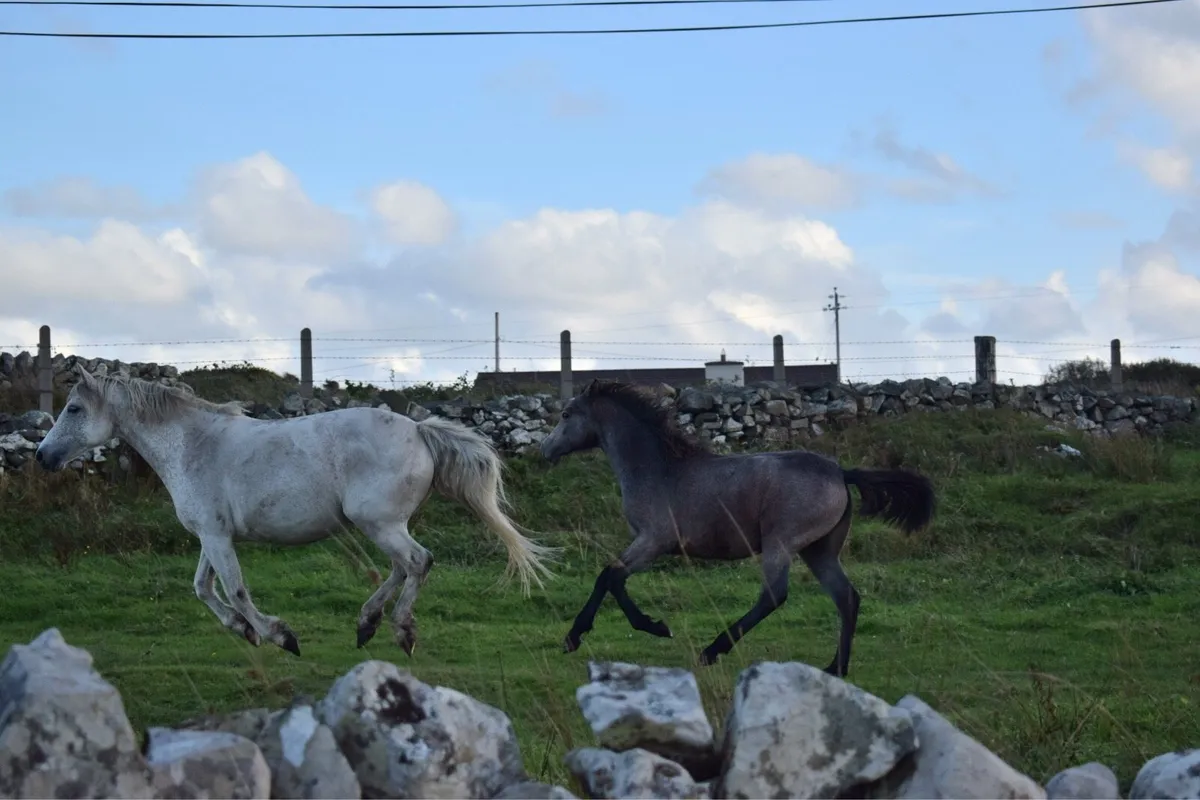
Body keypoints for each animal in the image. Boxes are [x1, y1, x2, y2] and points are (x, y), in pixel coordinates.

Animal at [35, 364, 558, 657]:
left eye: (75, 409)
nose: (42, 456)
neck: (191, 445)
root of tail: (419, 428)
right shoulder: (211, 536)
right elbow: (203, 588)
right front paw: (243, 631)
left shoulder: (217, 538)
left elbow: (236, 590)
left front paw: (279, 636)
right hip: (381, 523)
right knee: (401, 567)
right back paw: (367, 624)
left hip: (379, 522)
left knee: (417, 562)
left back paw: (401, 631)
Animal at [538, 378, 936, 676]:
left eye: (566, 413)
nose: (544, 450)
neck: (657, 469)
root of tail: (840, 472)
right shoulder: (648, 543)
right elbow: (611, 577)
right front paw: (580, 636)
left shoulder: (653, 541)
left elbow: (610, 576)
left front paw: (644, 628)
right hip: (819, 550)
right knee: (847, 598)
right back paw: (835, 668)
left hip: (781, 543)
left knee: (774, 595)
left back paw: (712, 650)